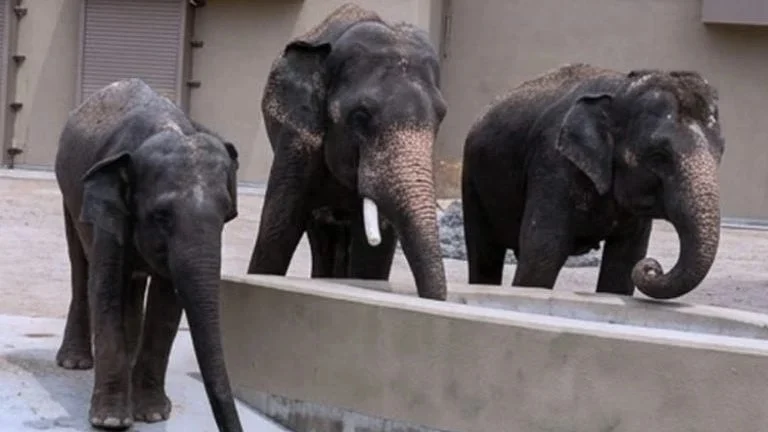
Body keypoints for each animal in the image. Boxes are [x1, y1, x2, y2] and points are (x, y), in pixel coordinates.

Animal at [54, 78, 242, 431]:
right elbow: (105, 288)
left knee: (132, 284)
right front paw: (111, 420)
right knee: (80, 267)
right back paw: (74, 363)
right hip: (69, 196)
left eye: (227, 215)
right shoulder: (109, 211)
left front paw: (153, 415)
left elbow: (167, 303)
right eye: (161, 216)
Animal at [462, 63, 724, 300]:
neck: (622, 89)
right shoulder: (552, 164)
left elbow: (625, 261)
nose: (652, 268)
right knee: (485, 254)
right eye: (658, 156)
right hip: (473, 181)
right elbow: (543, 251)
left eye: (720, 152)